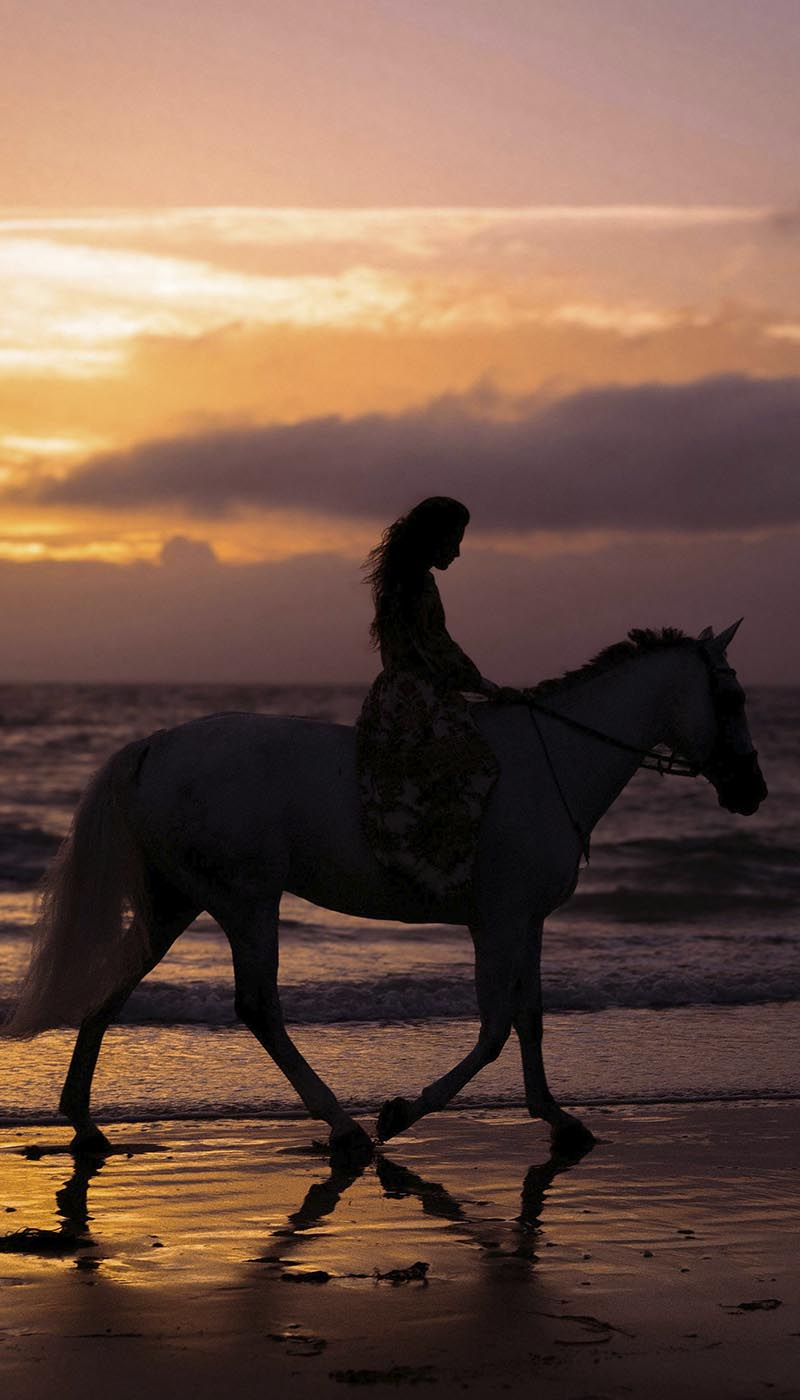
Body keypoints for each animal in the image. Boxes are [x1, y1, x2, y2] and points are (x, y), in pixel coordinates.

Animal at [2, 621, 767, 1165]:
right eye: (731, 697)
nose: (753, 792)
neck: (550, 764)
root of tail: (154, 746)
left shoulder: (527, 921)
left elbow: (530, 1017)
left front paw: (556, 1117)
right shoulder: (497, 921)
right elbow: (494, 1027)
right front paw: (403, 1113)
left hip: (177, 902)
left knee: (116, 986)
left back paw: (83, 1123)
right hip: (247, 900)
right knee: (257, 1007)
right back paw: (344, 1128)